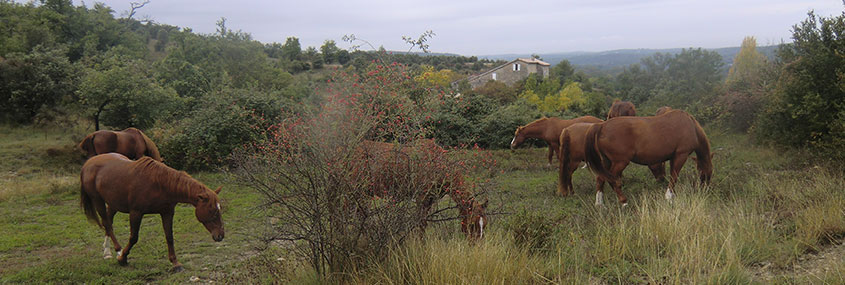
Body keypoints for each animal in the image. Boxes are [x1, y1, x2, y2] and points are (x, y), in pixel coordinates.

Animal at [79, 153, 223, 270]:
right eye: (213, 211)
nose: (220, 236)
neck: (159, 184)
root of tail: (88, 163)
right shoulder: (136, 213)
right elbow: (133, 237)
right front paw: (123, 258)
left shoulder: (167, 213)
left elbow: (169, 237)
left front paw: (175, 263)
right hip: (98, 201)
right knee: (107, 224)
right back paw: (117, 251)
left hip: (113, 203)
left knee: (108, 222)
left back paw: (107, 251)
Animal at [356, 140, 488, 240]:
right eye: (472, 224)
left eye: (485, 225)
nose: (477, 244)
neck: (437, 166)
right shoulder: (422, 198)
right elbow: (420, 222)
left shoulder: (430, 200)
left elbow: (423, 223)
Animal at [584, 110, 716, 205]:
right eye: (709, 172)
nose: (706, 189)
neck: (691, 126)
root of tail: (601, 126)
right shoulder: (681, 155)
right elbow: (674, 176)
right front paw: (669, 196)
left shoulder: (673, 157)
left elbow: (672, 175)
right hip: (620, 162)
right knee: (613, 180)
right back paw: (623, 201)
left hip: (606, 162)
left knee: (601, 178)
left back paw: (600, 204)